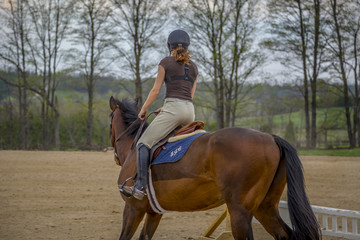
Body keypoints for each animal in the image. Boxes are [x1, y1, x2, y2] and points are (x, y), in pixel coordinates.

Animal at [109, 96, 320, 240]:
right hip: (264, 207)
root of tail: (271, 137)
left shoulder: (133, 208)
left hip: (240, 212)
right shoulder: (154, 212)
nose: (117, 158)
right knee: (284, 234)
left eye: (110, 119)